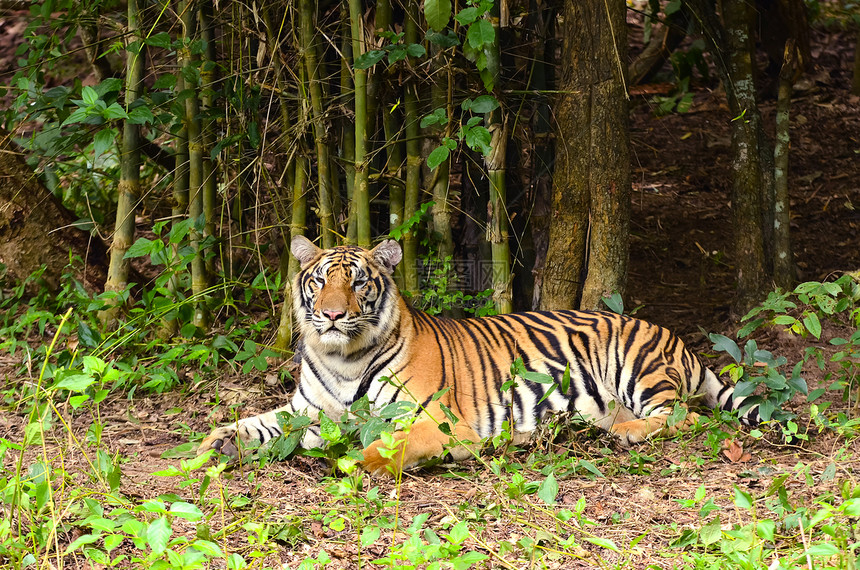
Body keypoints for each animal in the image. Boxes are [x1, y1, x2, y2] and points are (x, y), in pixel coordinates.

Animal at [200, 236, 760, 474]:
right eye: (319, 281)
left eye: (358, 282)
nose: (334, 315)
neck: (343, 358)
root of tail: (676, 338)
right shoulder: (306, 410)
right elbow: (257, 423)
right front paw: (214, 441)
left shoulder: (437, 421)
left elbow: (388, 445)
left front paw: (353, 460)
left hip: (638, 366)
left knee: (684, 416)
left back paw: (628, 433)